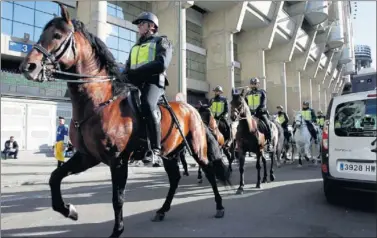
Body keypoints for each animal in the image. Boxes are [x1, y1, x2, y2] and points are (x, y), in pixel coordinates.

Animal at [19, 4, 229, 238]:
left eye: (57, 35)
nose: (28, 66)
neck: (98, 103)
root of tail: (193, 109)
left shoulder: (118, 160)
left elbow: (117, 198)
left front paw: (117, 230)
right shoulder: (86, 156)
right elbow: (54, 177)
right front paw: (69, 210)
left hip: (196, 148)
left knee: (209, 171)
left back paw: (220, 206)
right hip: (170, 153)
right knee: (175, 178)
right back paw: (162, 210)